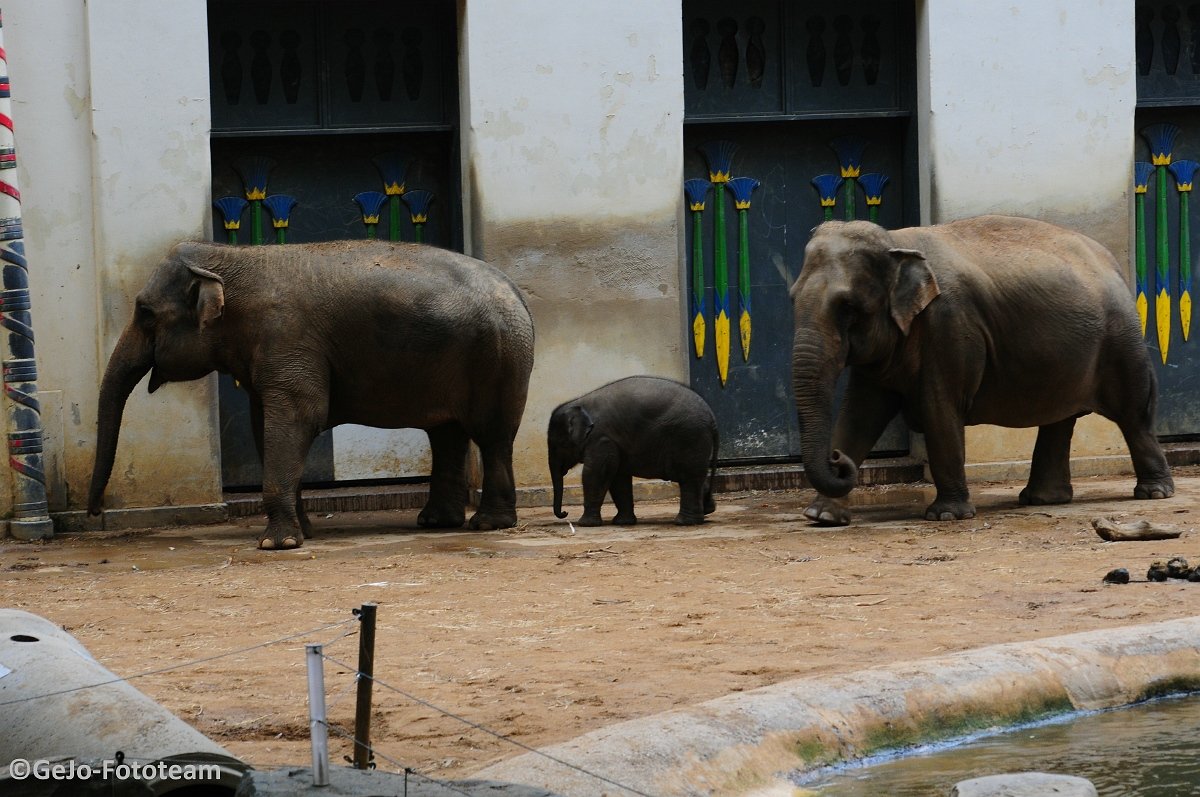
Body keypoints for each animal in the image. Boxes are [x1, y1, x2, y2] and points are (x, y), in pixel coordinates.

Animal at [93, 237, 540, 547]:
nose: (94, 513)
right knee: (447, 433)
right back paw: (436, 522)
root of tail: (517, 291)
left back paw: (488, 524)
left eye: (145, 313)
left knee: (491, 435)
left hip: (498, 360)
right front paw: (301, 532)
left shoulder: (287, 338)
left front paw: (277, 544)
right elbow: (264, 424)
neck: (231, 258)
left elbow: (298, 418)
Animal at [549, 374, 715, 525]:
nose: (564, 513)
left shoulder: (601, 439)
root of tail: (712, 416)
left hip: (689, 438)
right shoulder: (615, 442)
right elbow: (618, 477)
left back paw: (684, 522)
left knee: (688, 478)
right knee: (694, 477)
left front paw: (585, 524)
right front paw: (623, 522)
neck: (578, 402)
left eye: (561, 444)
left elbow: (595, 473)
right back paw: (706, 511)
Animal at [792, 214, 1176, 525]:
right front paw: (822, 516)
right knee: (1059, 420)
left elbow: (939, 409)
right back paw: (1043, 500)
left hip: (1121, 341)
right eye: (792, 297)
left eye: (848, 307)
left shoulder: (950, 326)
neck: (896, 242)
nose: (836, 458)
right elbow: (860, 414)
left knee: (1133, 414)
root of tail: (1114, 263)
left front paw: (947, 516)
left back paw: (1154, 493)